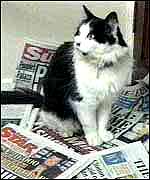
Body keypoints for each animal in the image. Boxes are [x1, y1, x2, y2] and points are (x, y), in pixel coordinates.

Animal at [37, 5, 133, 146]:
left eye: (91, 36)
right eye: (78, 33)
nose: (77, 43)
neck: (100, 66)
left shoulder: (106, 100)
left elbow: (103, 120)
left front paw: (103, 135)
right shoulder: (83, 102)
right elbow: (90, 123)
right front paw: (94, 138)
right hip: (53, 107)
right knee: (49, 121)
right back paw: (65, 131)